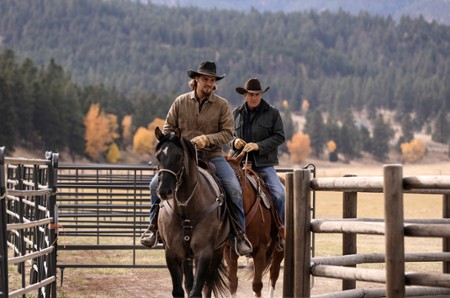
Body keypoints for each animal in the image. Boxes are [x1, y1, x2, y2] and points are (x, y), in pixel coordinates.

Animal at [155, 127, 232, 298]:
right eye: (158, 156)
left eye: (178, 156)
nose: (164, 191)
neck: (186, 208)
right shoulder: (172, 253)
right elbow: (179, 290)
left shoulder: (204, 252)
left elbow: (197, 291)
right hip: (187, 256)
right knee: (189, 282)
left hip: (217, 251)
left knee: (209, 282)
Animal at [225, 152, 284, 298]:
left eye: (238, 176)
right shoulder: (229, 250)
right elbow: (232, 282)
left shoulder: (260, 249)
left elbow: (257, 284)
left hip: (279, 249)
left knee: (273, 274)